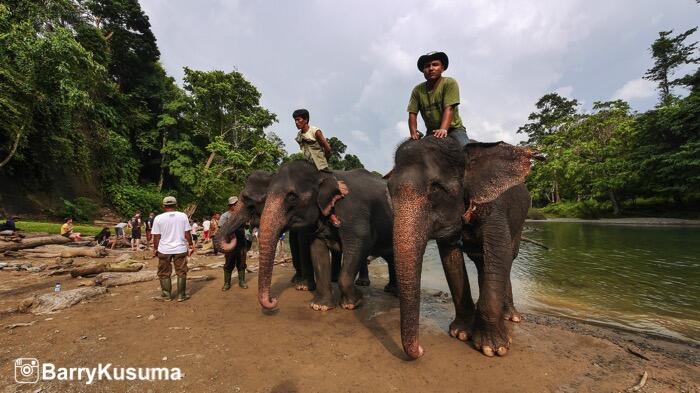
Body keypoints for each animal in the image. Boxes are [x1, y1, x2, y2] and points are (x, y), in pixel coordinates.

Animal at [258, 158, 400, 310]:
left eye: (292, 197)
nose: (273, 300)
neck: (324, 174)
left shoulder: (353, 215)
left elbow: (360, 244)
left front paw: (353, 302)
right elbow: (318, 252)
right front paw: (320, 306)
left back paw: (393, 292)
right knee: (391, 257)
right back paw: (391, 289)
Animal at [386, 137, 540, 358]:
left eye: (435, 188)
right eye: (388, 189)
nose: (422, 350)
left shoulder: (494, 207)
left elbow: (499, 253)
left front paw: (493, 348)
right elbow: (451, 257)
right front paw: (461, 333)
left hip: (521, 222)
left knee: (508, 257)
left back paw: (511, 316)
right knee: (481, 261)